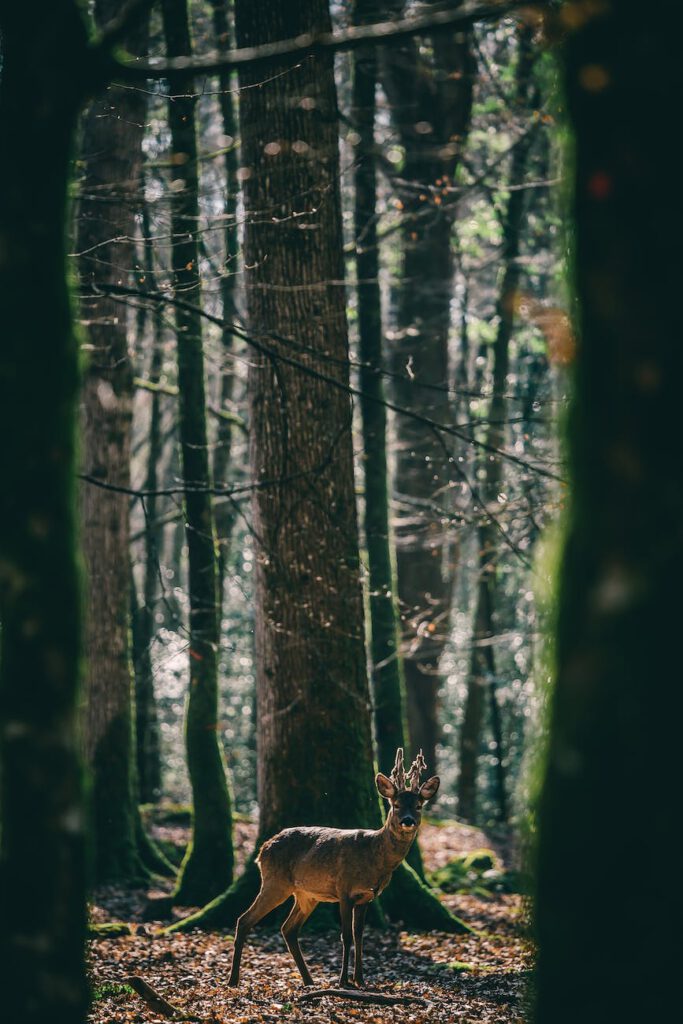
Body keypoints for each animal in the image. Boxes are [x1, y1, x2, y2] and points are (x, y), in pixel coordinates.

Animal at [227, 748, 439, 989]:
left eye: (418, 806)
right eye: (395, 805)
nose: (408, 820)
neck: (375, 857)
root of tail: (262, 850)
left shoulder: (367, 897)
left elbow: (360, 935)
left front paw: (360, 980)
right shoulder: (344, 889)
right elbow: (345, 936)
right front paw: (344, 981)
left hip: (306, 895)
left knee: (288, 929)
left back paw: (309, 981)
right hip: (275, 882)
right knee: (244, 920)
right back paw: (233, 980)